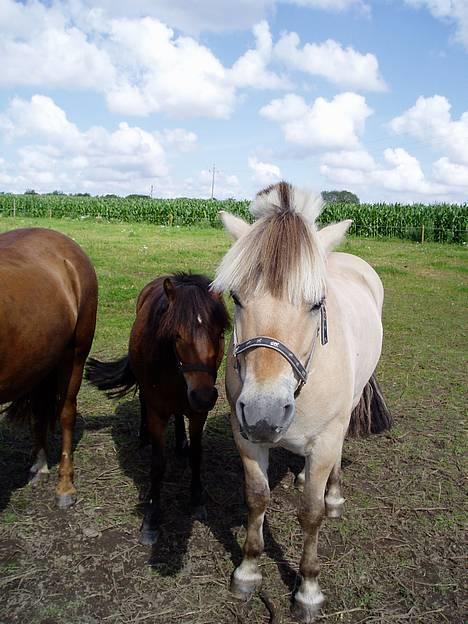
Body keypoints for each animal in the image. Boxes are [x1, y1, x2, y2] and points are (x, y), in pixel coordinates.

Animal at [86, 276, 230, 544]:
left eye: (219, 333)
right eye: (177, 335)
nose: (204, 396)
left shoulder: (198, 412)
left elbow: (197, 454)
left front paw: (196, 500)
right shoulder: (157, 413)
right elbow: (157, 464)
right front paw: (152, 517)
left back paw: (180, 441)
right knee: (144, 400)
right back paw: (143, 436)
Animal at [213, 183, 392, 620]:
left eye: (316, 303)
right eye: (236, 298)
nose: (264, 414)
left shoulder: (325, 439)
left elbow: (310, 515)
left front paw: (308, 590)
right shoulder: (246, 437)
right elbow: (256, 498)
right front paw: (247, 571)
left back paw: (333, 494)